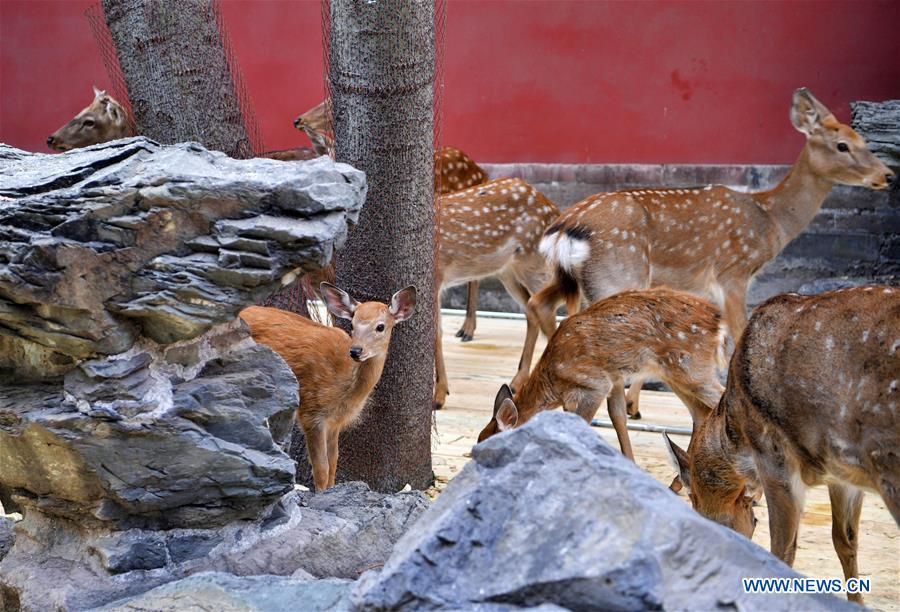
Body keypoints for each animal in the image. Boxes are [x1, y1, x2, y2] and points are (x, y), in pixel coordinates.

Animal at [240, 283, 416, 491]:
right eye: (352, 325)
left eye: (380, 327)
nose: (356, 351)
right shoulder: (311, 411)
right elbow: (321, 467)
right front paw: (321, 494)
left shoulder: (334, 422)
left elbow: (333, 462)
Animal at [434, 177, 562, 410]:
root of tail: (553, 207)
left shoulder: (437, 276)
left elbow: (436, 333)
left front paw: (439, 396)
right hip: (508, 272)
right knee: (532, 313)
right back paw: (517, 382)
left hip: (536, 265)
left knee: (549, 313)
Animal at [478, 288, 725, 465]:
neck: (553, 380)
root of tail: (717, 319)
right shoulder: (609, 382)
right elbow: (615, 417)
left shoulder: (595, 384)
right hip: (676, 375)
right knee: (701, 413)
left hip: (692, 368)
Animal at [512, 88, 895, 416]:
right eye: (842, 145)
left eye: (864, 139)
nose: (888, 175)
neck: (770, 221)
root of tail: (565, 229)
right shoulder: (734, 271)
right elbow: (738, 333)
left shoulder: (698, 287)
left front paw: (640, 401)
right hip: (618, 273)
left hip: (569, 276)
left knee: (539, 303)